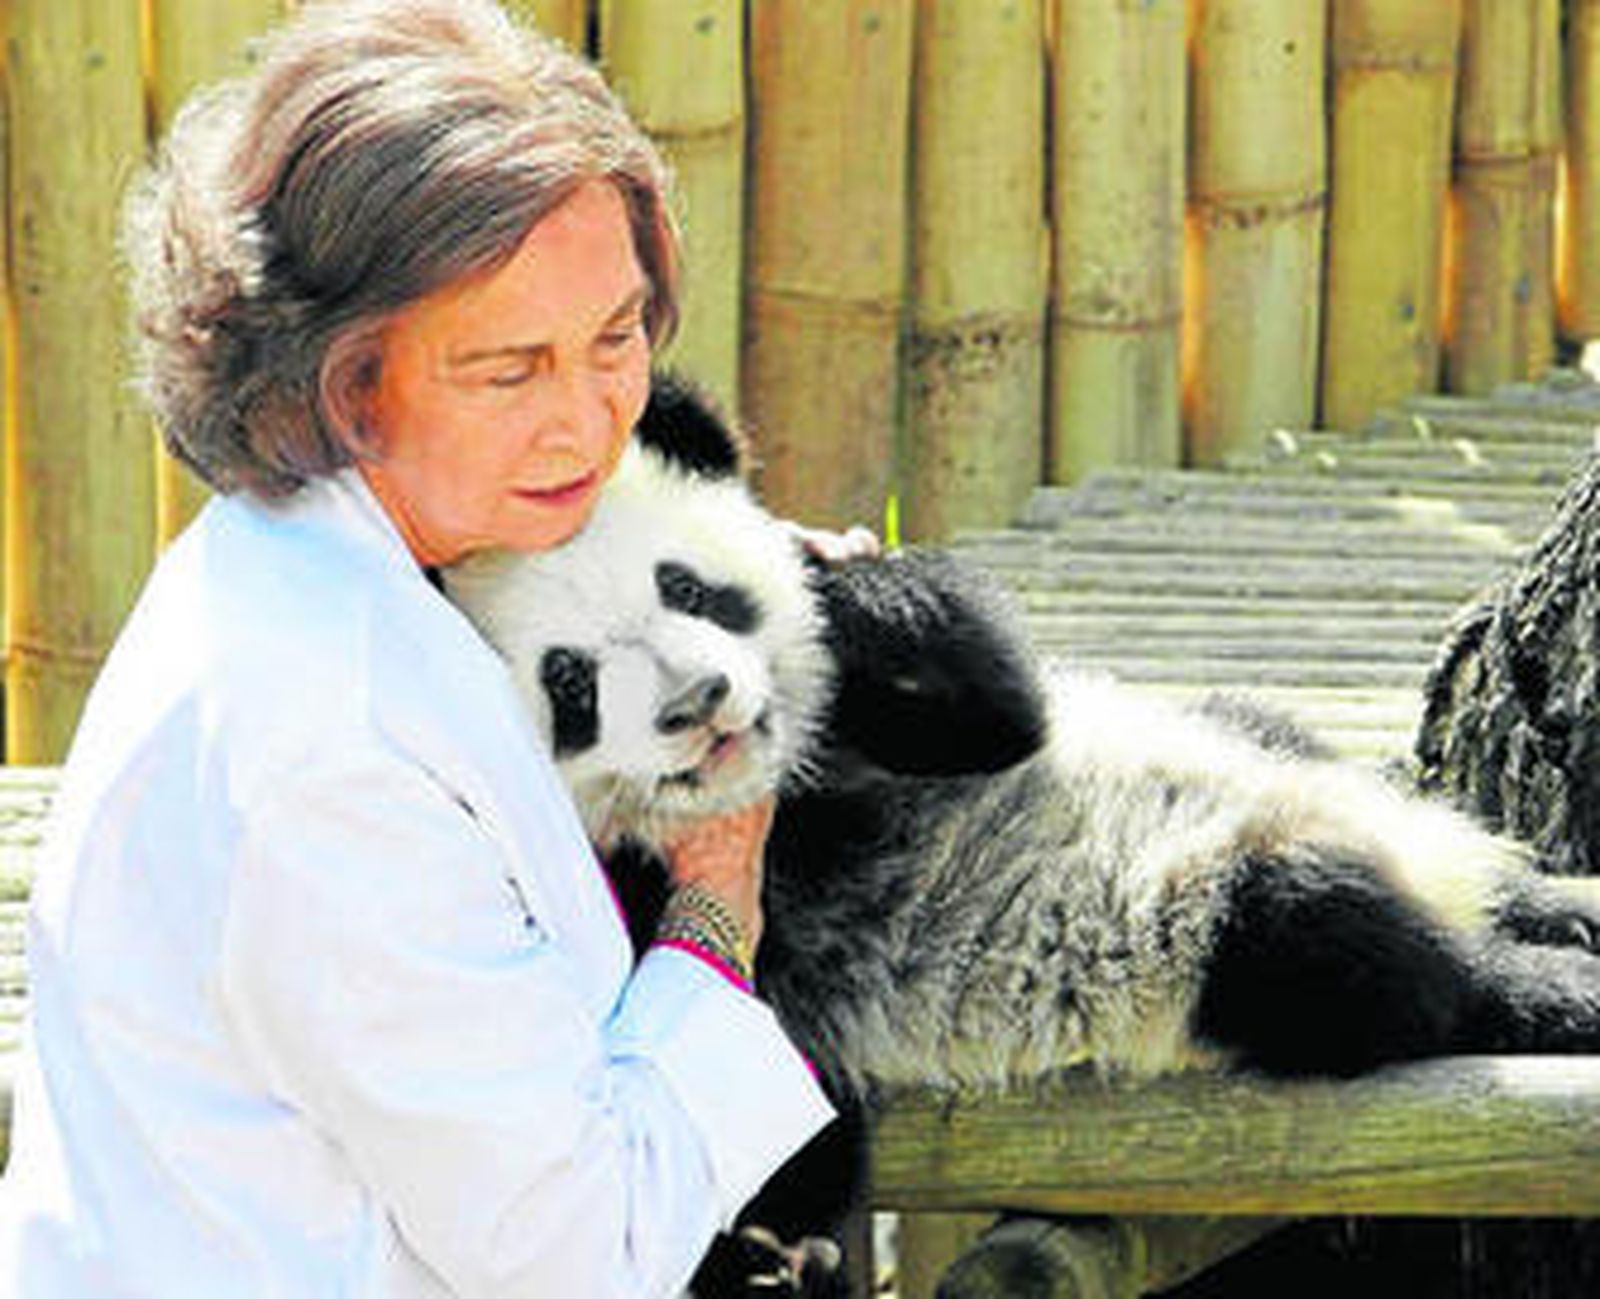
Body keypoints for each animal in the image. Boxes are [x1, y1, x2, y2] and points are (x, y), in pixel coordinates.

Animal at [443, 376, 1600, 1285]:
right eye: (572, 685)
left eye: (687, 586)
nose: (704, 702)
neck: (794, 788)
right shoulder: (712, 911)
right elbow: (762, 1112)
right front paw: (771, 1255)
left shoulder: (895, 717)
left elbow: (995, 696)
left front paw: (830, 575)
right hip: (1198, 933)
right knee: (1354, 956)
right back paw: (1549, 985)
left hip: (1248, 745)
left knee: (1297, 756)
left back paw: (1548, 908)